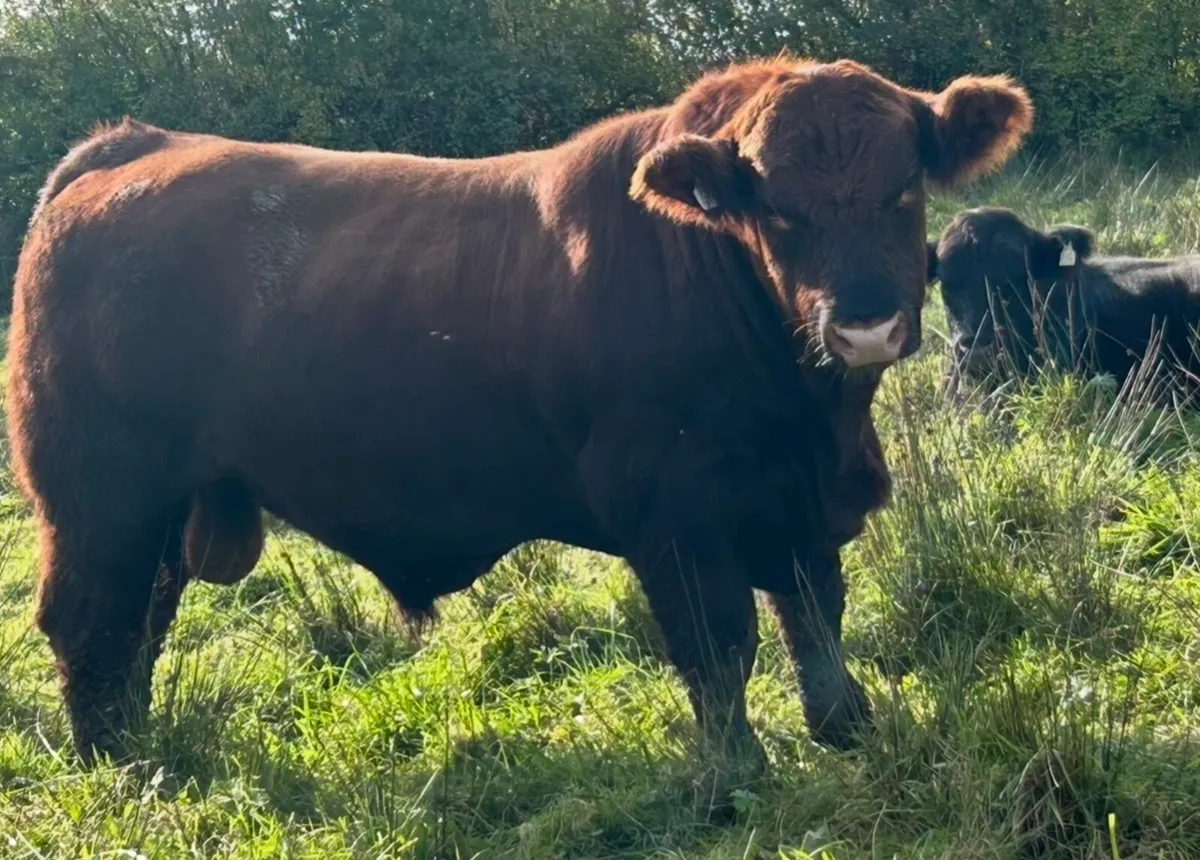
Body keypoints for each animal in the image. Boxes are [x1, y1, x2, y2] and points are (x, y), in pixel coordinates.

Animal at [8, 57, 1032, 783]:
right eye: (775, 209)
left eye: (905, 187)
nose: (863, 324)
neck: (809, 415)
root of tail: (129, 146)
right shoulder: (675, 513)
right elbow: (720, 644)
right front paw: (735, 776)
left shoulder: (797, 503)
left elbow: (813, 612)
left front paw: (844, 725)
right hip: (98, 496)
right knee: (90, 621)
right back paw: (121, 768)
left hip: (162, 510)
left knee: (140, 621)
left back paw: (138, 747)